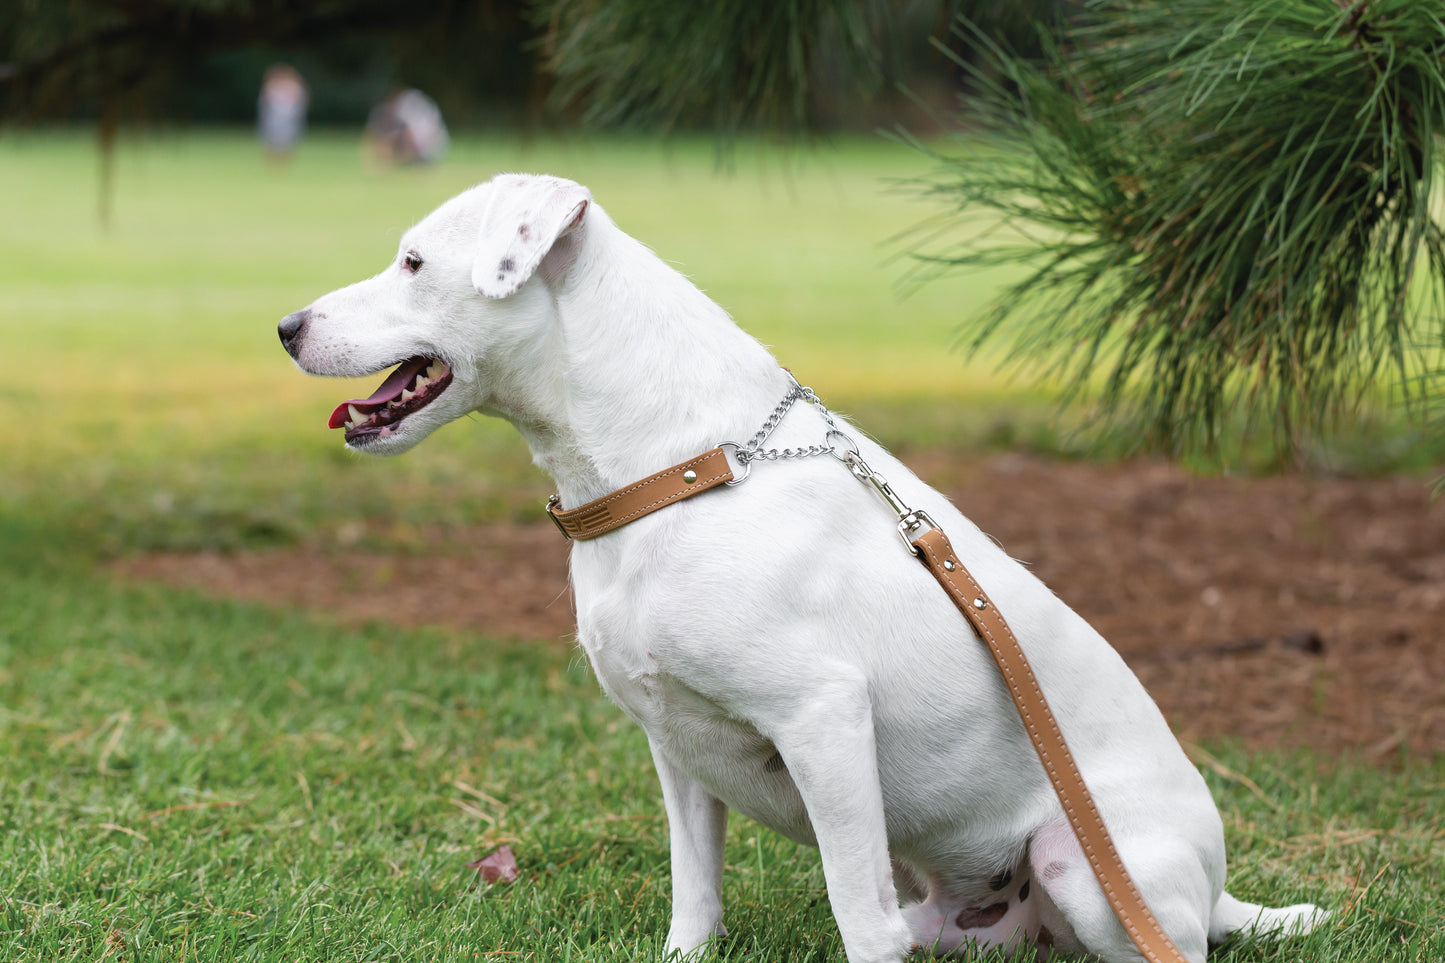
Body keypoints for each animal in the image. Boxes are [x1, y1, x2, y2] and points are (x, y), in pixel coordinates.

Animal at [275, 174, 1323, 960]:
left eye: (414, 262)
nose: (285, 326)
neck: (679, 471)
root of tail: (1218, 889)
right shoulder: (676, 748)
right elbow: (696, 896)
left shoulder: (822, 717)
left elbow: (856, 918)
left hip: (1083, 863)